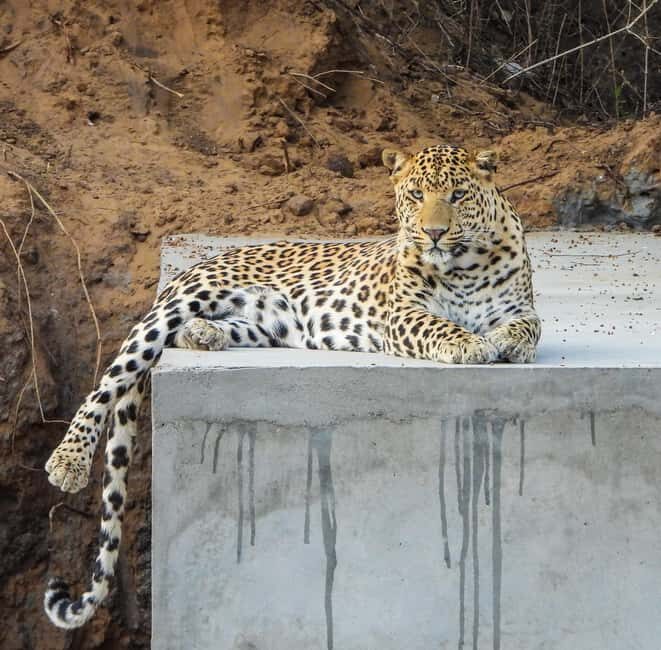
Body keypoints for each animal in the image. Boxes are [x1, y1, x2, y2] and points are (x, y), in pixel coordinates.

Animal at [43, 144, 541, 628]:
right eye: (416, 195)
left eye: (458, 195)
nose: (434, 233)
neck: (464, 266)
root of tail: (203, 261)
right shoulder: (403, 315)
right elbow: (441, 326)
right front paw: (470, 344)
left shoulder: (523, 309)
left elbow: (526, 330)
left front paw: (504, 342)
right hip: (180, 305)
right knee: (112, 378)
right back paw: (68, 460)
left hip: (264, 325)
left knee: (202, 335)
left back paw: (203, 335)